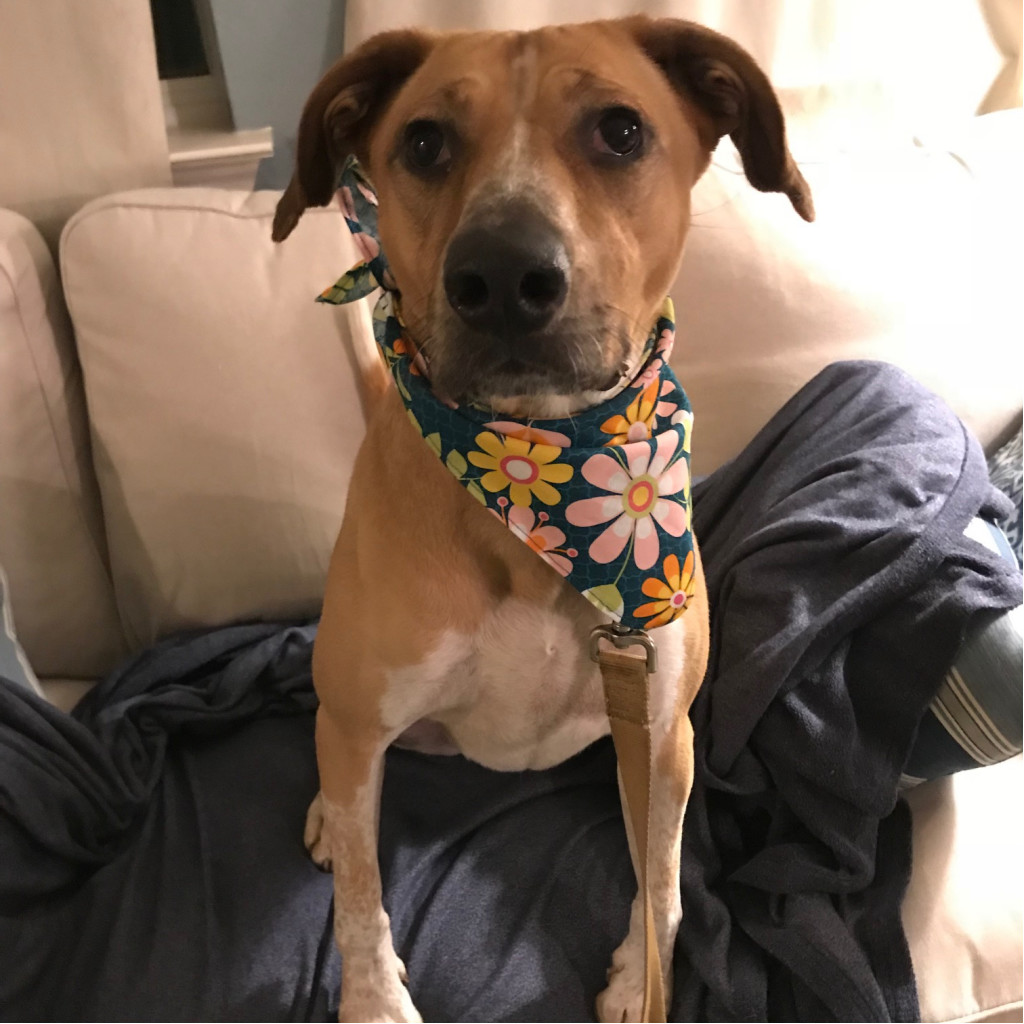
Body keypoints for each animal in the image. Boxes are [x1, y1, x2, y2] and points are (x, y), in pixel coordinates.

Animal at [274, 18, 815, 1024]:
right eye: (423, 142)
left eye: (621, 130)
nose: (500, 273)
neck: (538, 478)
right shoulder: (363, 724)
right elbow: (362, 896)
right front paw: (372, 999)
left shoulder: (664, 734)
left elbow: (665, 877)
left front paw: (642, 979)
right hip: (351, 711)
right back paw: (330, 811)